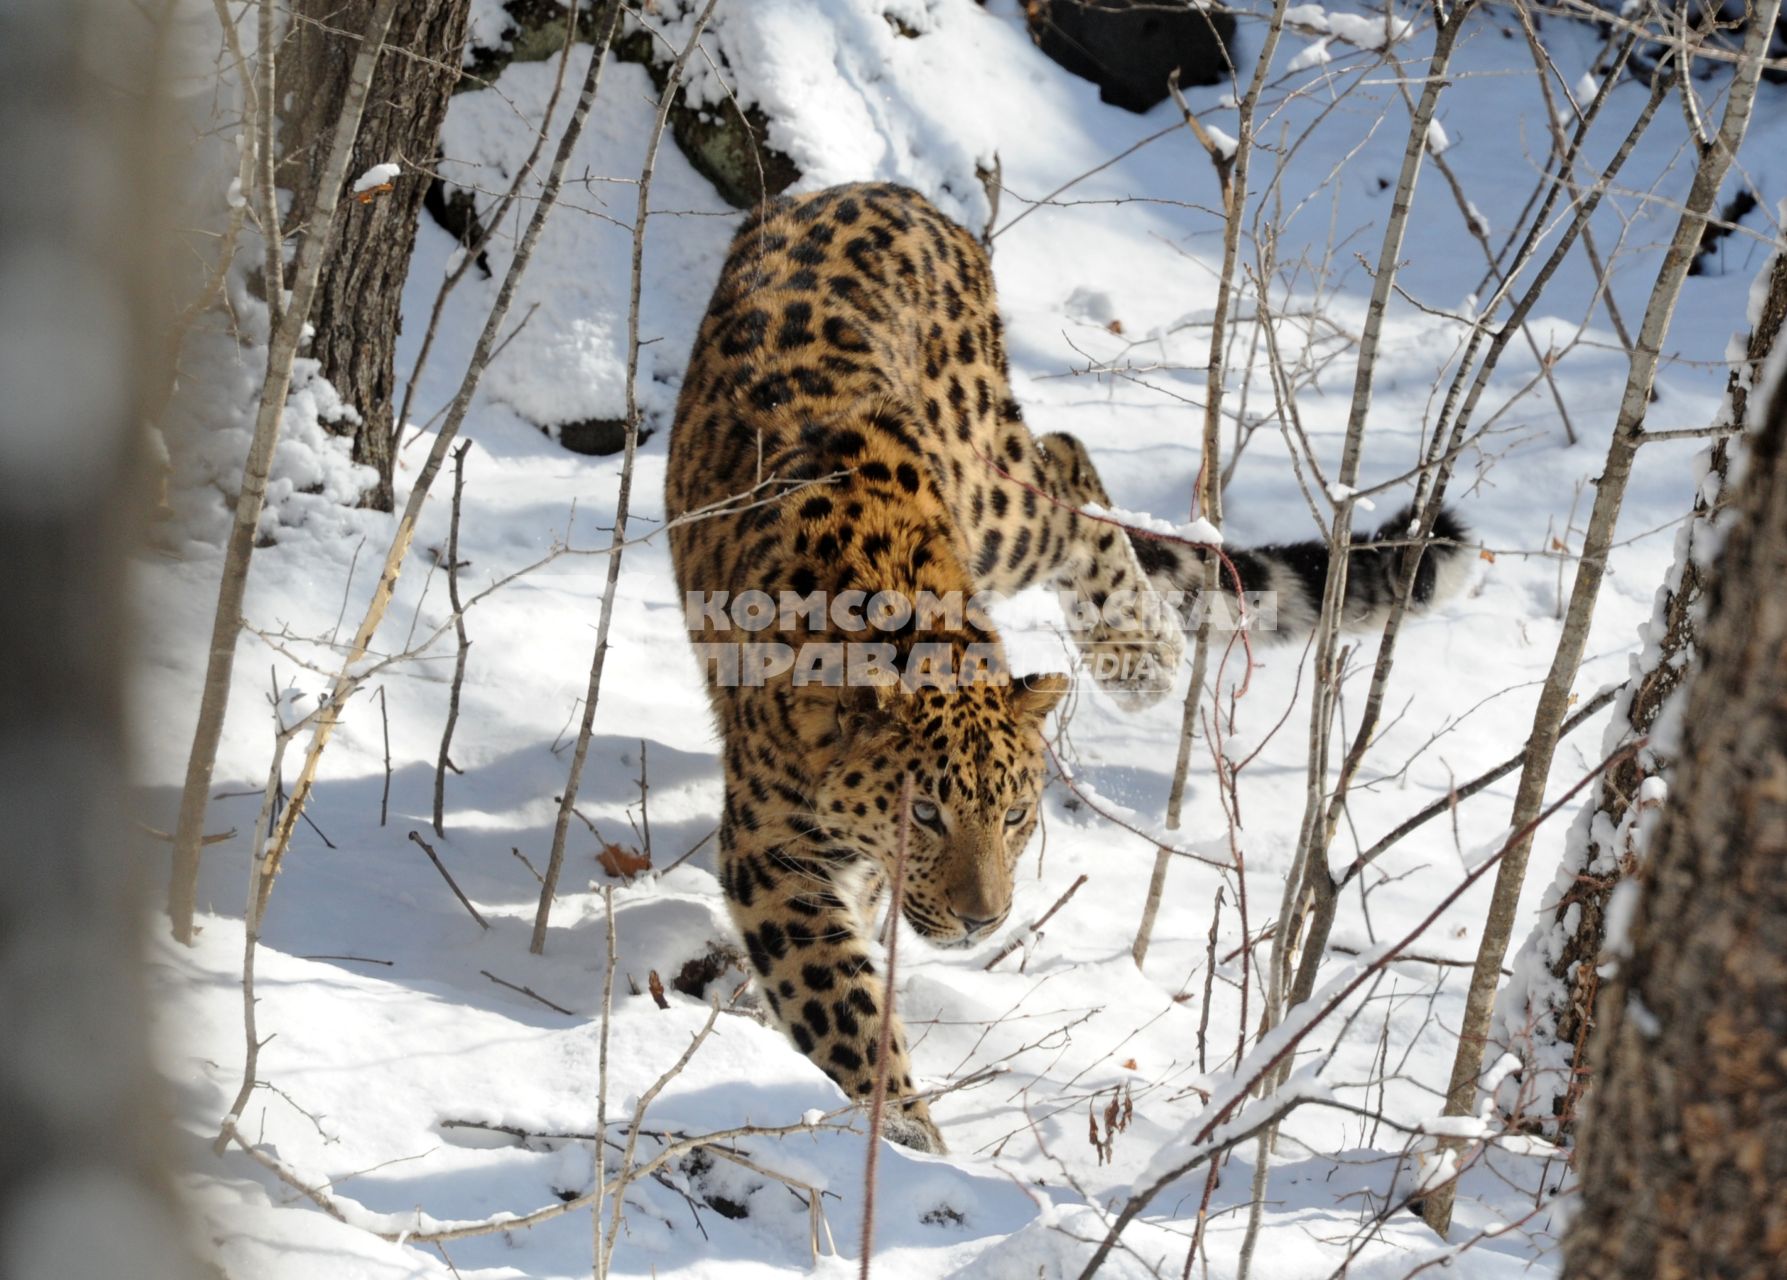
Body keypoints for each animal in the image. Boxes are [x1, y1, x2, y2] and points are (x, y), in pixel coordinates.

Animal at [661, 179, 1465, 1151]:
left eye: (1014, 815)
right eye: (923, 812)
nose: (984, 918)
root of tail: (882, 189)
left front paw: (911, 1152)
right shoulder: (774, 855)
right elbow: (845, 1014)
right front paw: (911, 1145)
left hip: (989, 497)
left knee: (1068, 469)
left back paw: (1141, 658)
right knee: (1068, 456)